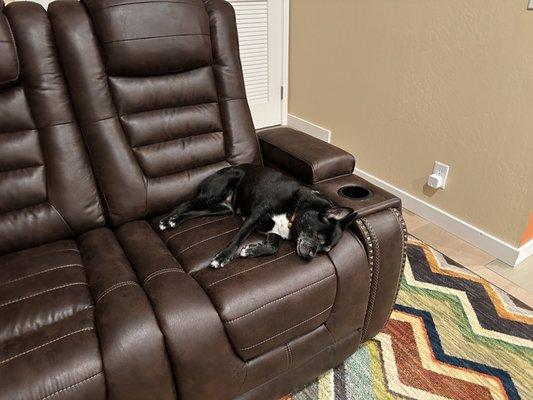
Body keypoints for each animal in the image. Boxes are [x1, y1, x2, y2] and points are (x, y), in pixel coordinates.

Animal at [159, 164, 358, 268]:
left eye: (325, 251)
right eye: (320, 237)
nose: (310, 257)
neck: (294, 212)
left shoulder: (275, 234)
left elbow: (272, 249)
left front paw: (250, 250)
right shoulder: (255, 216)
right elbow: (237, 239)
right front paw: (223, 257)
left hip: (221, 208)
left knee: (194, 211)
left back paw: (176, 220)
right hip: (216, 191)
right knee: (185, 204)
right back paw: (167, 219)